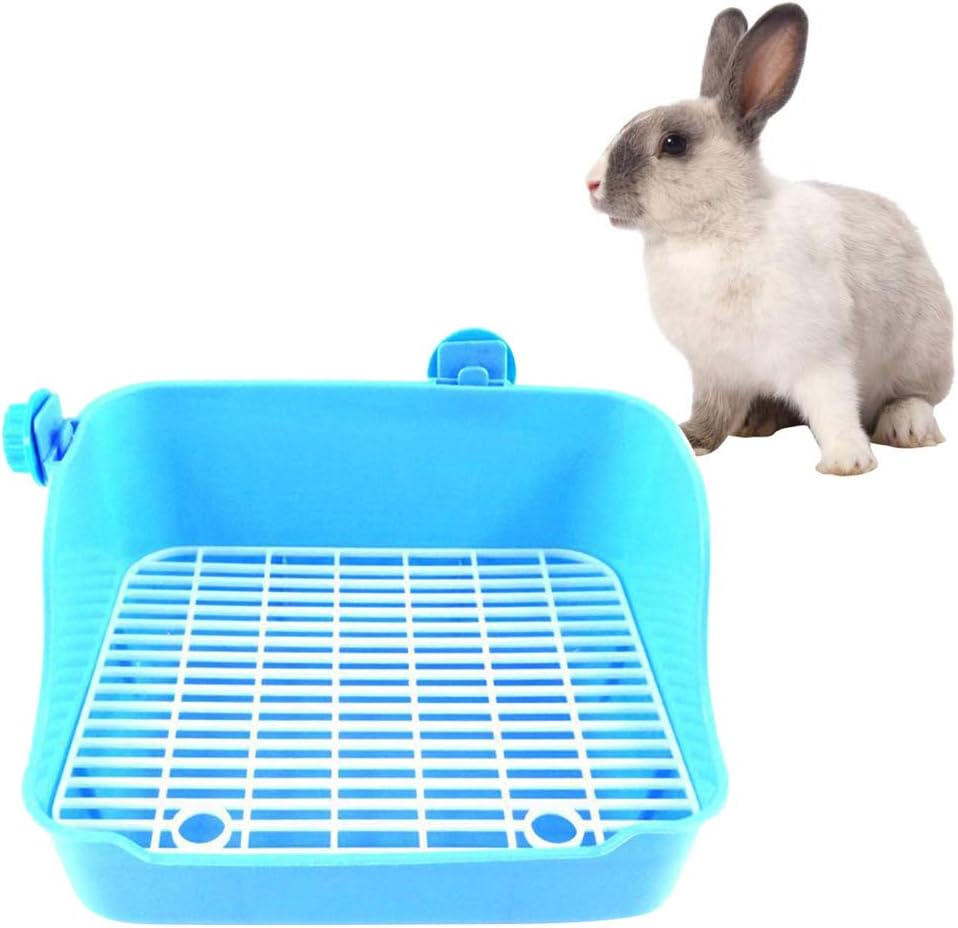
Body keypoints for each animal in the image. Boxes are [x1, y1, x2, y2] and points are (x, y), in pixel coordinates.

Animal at [586, 3, 953, 475]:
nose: (591, 183)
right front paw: (691, 440)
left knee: (914, 397)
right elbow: (711, 412)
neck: (712, 229)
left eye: (673, 144)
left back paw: (906, 427)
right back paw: (756, 420)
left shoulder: (820, 359)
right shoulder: (714, 370)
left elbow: (833, 408)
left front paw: (848, 462)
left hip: (922, 354)